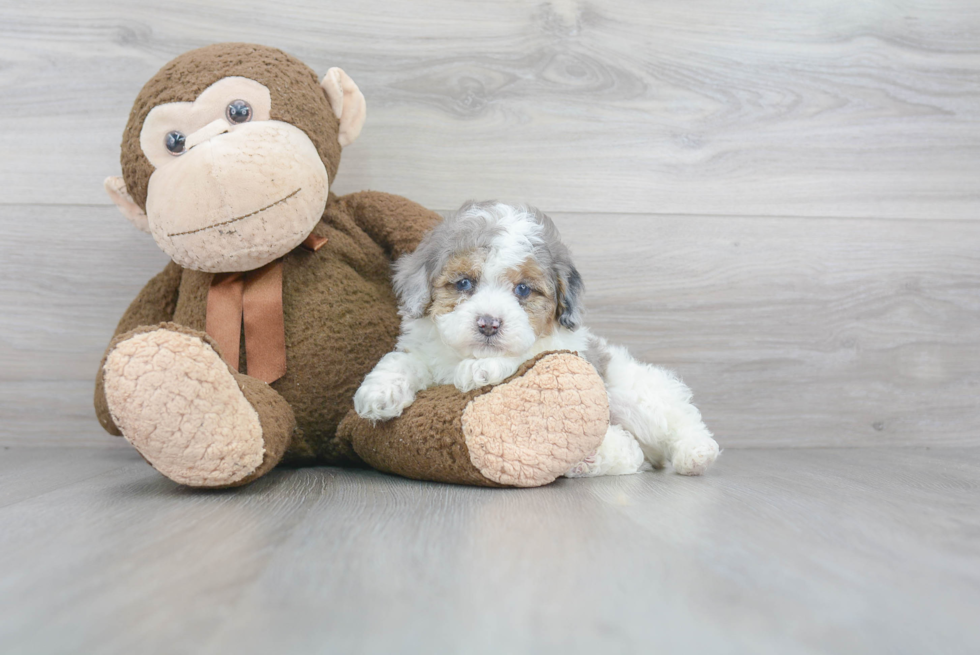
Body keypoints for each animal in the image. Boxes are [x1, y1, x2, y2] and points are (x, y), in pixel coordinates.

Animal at [352, 201, 720, 476]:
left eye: (523, 290)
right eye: (464, 283)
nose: (489, 324)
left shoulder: (561, 348)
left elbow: (526, 353)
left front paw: (481, 369)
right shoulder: (425, 351)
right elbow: (401, 360)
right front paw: (379, 392)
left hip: (633, 394)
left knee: (676, 421)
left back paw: (696, 453)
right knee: (633, 454)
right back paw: (592, 460)